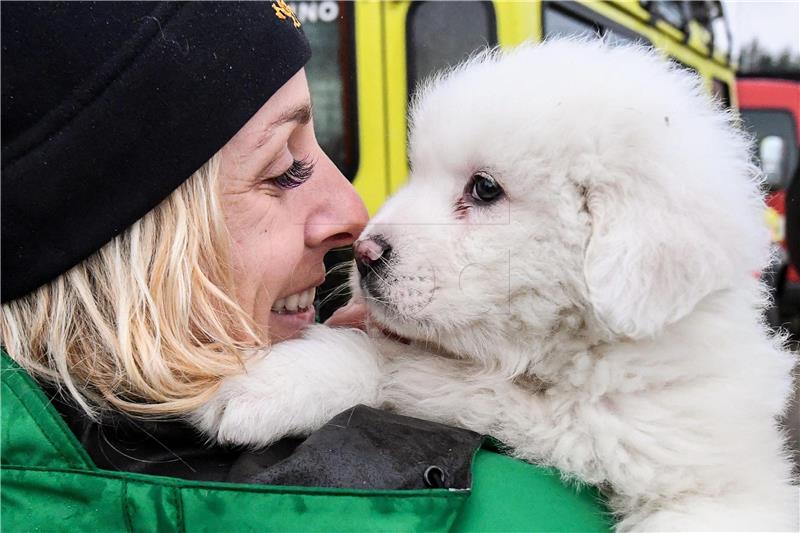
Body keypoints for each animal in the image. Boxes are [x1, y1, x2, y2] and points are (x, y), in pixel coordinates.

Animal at [192, 40, 792, 528]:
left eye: (484, 189)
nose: (363, 254)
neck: (550, 374)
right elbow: (397, 366)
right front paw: (271, 383)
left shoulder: (712, 481)